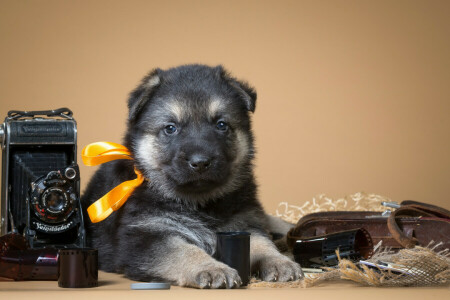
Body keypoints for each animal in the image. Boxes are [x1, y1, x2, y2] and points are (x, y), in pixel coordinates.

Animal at [82, 64, 304, 288]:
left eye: (221, 125)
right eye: (170, 128)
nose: (200, 162)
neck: (199, 203)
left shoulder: (247, 221)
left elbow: (261, 243)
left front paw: (279, 261)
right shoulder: (146, 235)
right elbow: (183, 251)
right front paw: (211, 268)